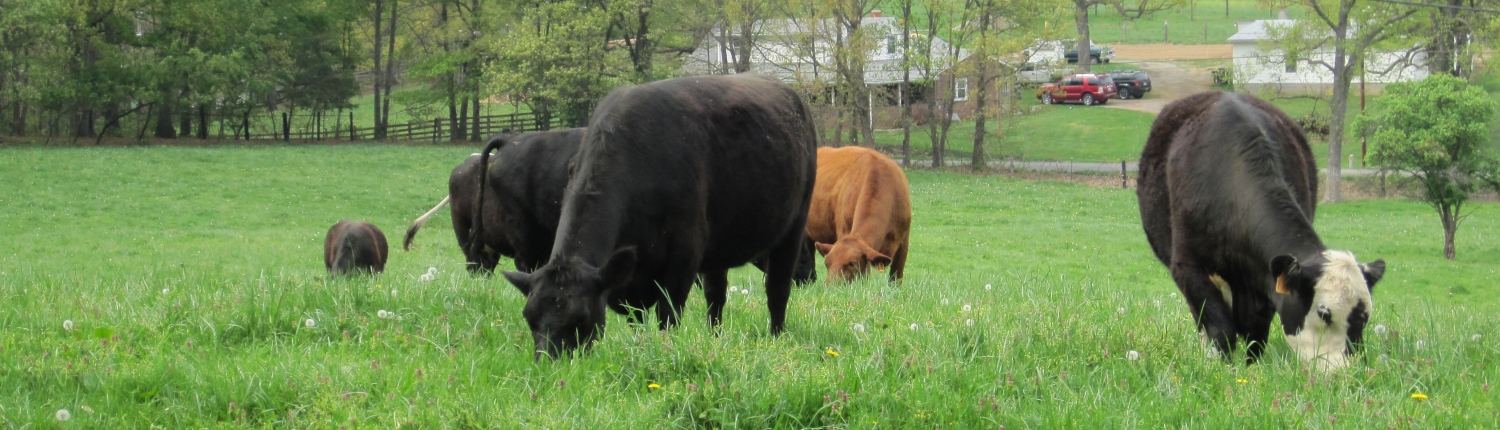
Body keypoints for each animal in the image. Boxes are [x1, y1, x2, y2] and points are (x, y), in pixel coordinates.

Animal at [501, 74, 818, 359]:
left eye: (580, 318)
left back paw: (775, 337)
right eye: (529, 318)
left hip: (794, 225)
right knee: (716, 295)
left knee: (777, 289)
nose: (549, 363)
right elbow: (636, 318)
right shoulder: (627, 280)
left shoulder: (684, 254)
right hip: (719, 244)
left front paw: (666, 349)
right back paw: (714, 337)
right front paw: (641, 347)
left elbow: (669, 314)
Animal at [807, 146, 911, 283]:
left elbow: (896, 278)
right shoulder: (844, 230)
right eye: (827, 263)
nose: (831, 285)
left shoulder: (904, 241)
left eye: (852, 263)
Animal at [1137, 91, 1386, 370]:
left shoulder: (1264, 281)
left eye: (1365, 317)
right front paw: (1222, 368)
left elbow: (1256, 335)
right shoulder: (1189, 268)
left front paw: (1251, 369)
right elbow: (1219, 328)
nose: (1348, 371)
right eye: (1324, 314)